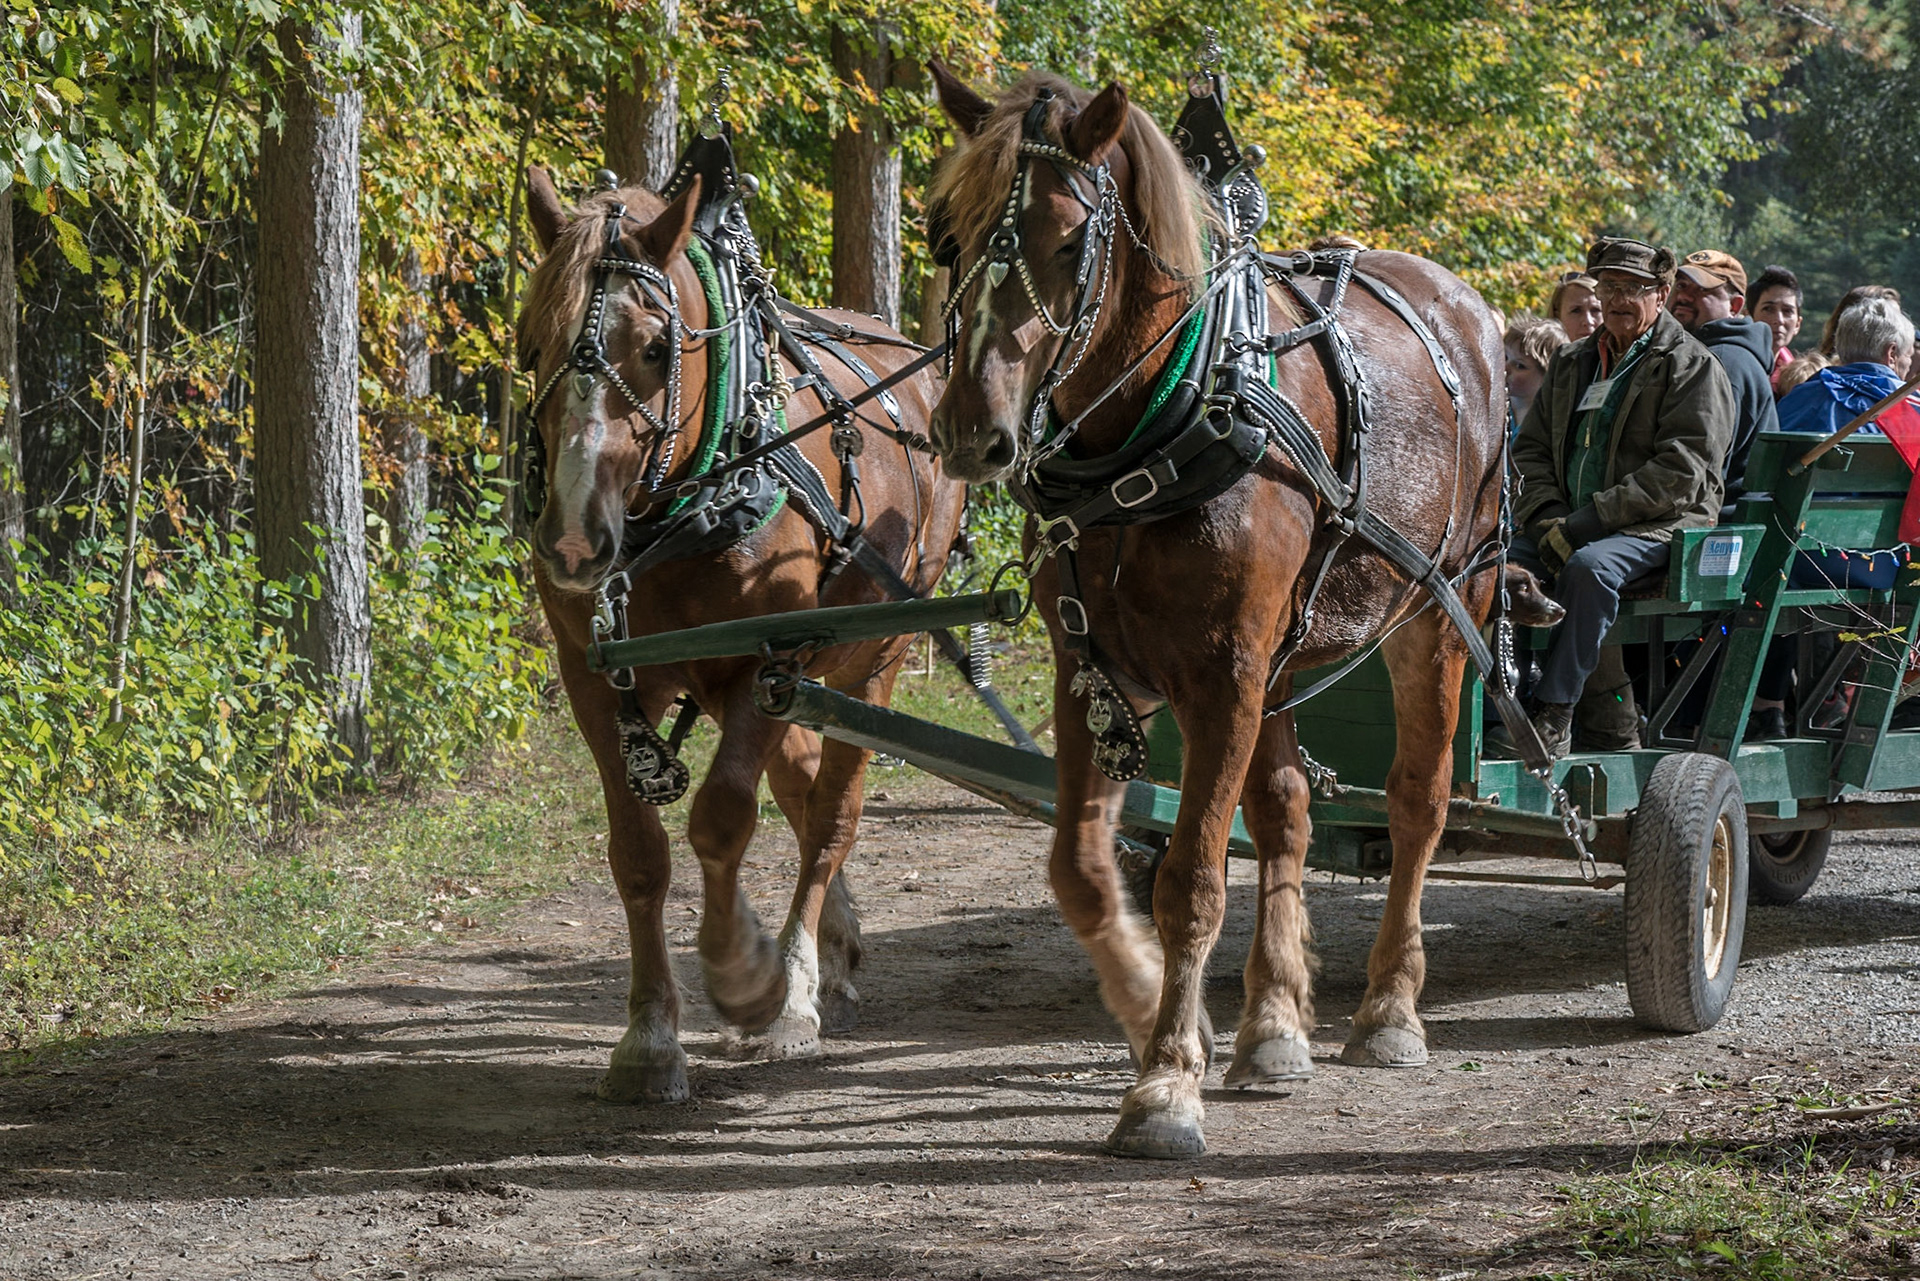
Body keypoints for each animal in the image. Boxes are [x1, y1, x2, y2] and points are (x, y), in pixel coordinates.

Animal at [518, 165, 964, 1101]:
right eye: (531, 343)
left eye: (657, 348)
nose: (573, 538)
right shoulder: (594, 675)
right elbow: (639, 852)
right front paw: (650, 1039)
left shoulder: (768, 659)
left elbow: (722, 819)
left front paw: (747, 973)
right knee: (798, 784)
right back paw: (832, 943)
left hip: (875, 654)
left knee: (829, 814)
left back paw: (796, 986)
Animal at [923, 64, 1530, 1158]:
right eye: (947, 235)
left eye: (1068, 240)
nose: (969, 432)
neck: (1156, 430)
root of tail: (1465, 305)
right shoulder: (1095, 672)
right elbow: (1082, 871)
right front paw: (1155, 1009)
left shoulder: (1222, 675)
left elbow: (1192, 878)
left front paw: (1166, 1082)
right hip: (1285, 656)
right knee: (1286, 813)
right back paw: (1274, 1028)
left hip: (1440, 607)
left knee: (1417, 804)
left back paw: (1389, 1011)